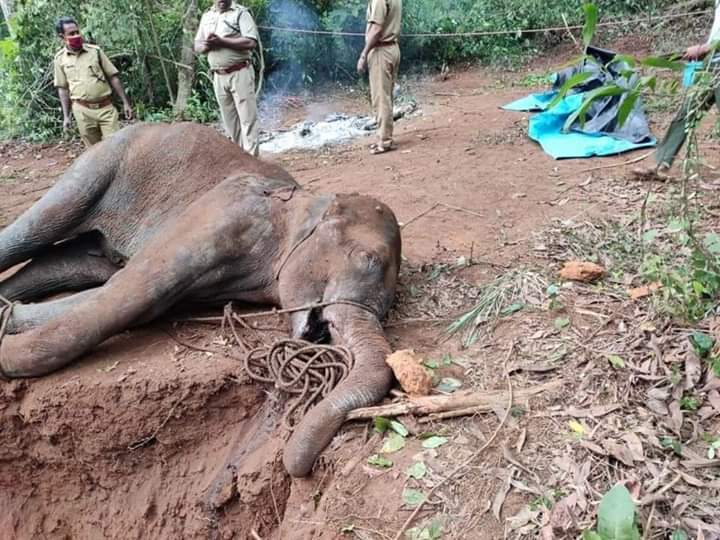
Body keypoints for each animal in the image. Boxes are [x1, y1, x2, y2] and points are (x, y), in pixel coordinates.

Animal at [0, 122, 402, 476]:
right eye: (367, 259)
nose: (294, 462)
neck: (304, 203)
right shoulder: (229, 211)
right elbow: (136, 289)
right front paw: (5, 352)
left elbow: (137, 299)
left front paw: (9, 320)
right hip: (104, 160)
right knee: (37, 228)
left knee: (70, 263)